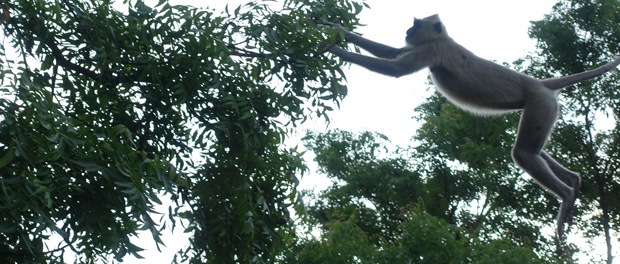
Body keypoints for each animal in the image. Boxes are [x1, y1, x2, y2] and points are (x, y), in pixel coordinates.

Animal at [324, 14, 620, 241]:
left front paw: (336, 50)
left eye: (416, 24)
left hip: (539, 103)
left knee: (523, 153)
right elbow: (392, 52)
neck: (442, 39)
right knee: (535, 150)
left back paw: (567, 195)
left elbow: (395, 67)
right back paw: (574, 182)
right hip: (543, 109)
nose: (408, 30)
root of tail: (541, 84)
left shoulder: (434, 50)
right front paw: (337, 30)